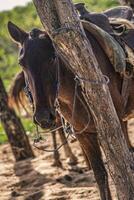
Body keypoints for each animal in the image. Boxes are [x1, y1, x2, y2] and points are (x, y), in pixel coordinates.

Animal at [7, 21, 134, 200]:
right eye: (21, 63)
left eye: (53, 58)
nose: (43, 116)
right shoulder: (83, 133)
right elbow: (100, 174)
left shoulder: (116, 124)